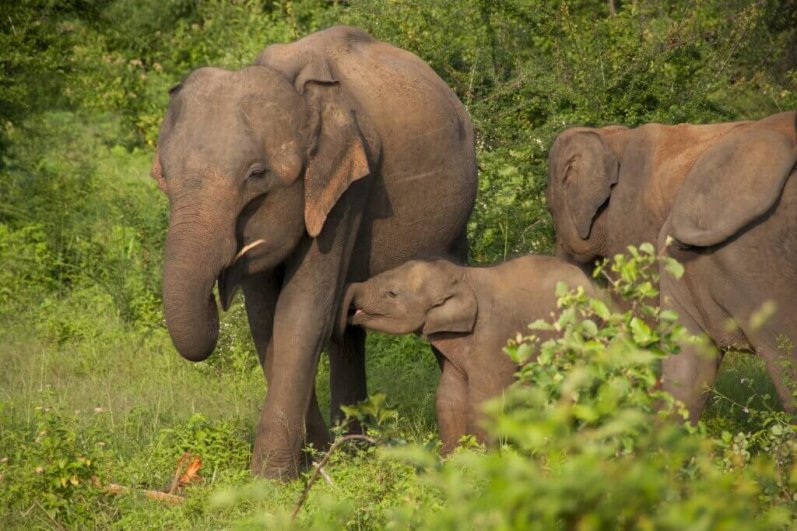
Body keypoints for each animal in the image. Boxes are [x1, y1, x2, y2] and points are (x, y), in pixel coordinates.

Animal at [150, 25, 477, 478]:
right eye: (163, 176)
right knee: (348, 327)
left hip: (456, 221)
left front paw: (269, 479)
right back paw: (353, 449)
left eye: (257, 175)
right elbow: (265, 321)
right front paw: (315, 459)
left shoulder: (349, 185)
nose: (218, 293)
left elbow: (300, 314)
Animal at [342, 256, 599, 453]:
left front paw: (479, 461)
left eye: (392, 293)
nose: (346, 314)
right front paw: (450, 460)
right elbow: (449, 395)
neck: (462, 276)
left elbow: (484, 398)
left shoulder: (493, 336)